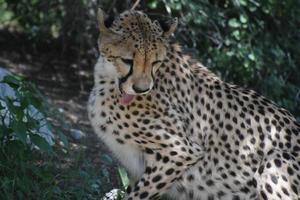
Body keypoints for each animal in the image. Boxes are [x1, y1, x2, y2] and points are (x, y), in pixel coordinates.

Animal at [88, 9, 300, 200]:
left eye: (155, 62)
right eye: (127, 60)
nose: (141, 89)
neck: (108, 80)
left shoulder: (181, 152)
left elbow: (138, 195)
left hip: (275, 159)